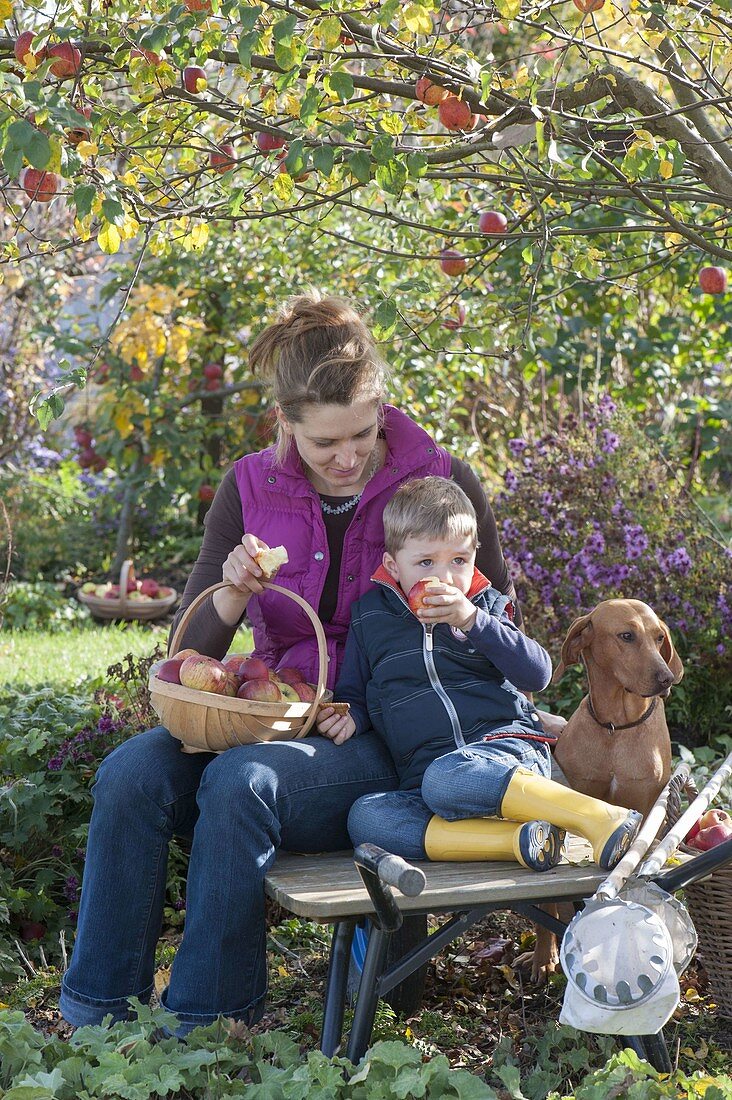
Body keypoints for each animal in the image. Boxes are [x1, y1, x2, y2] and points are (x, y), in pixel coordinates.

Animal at [521, 602, 682, 981]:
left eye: (659, 637)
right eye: (626, 636)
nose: (666, 679)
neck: (616, 727)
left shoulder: (646, 807)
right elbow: (549, 904)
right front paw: (543, 957)